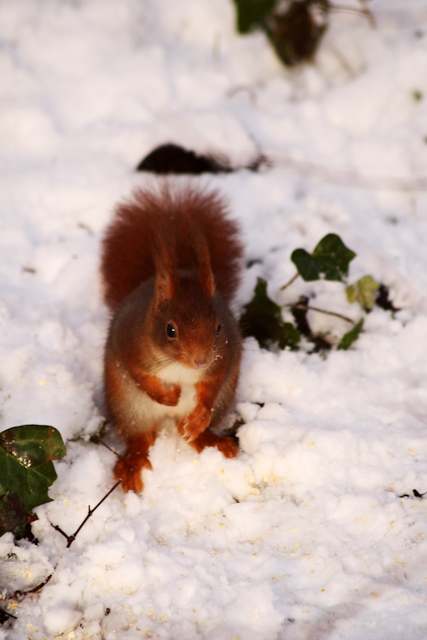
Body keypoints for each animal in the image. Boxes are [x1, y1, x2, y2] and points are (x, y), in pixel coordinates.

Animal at [100, 185, 244, 496]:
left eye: (218, 327)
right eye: (170, 330)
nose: (201, 360)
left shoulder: (224, 358)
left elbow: (213, 383)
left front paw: (201, 413)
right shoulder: (129, 343)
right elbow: (137, 373)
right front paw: (166, 395)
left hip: (225, 398)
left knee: (184, 432)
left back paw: (209, 438)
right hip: (128, 406)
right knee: (141, 437)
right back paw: (132, 463)